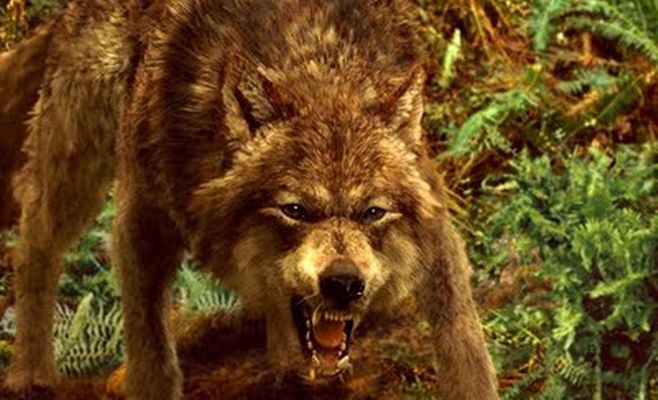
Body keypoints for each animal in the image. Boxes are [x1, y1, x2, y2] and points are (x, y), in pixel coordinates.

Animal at [0, 0, 499, 398]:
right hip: (74, 157)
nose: (342, 282)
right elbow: (151, 356)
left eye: (373, 212)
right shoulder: (142, 225)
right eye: (294, 210)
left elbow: (464, 344)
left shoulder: (437, 231)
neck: (316, 69)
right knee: (33, 246)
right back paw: (29, 373)